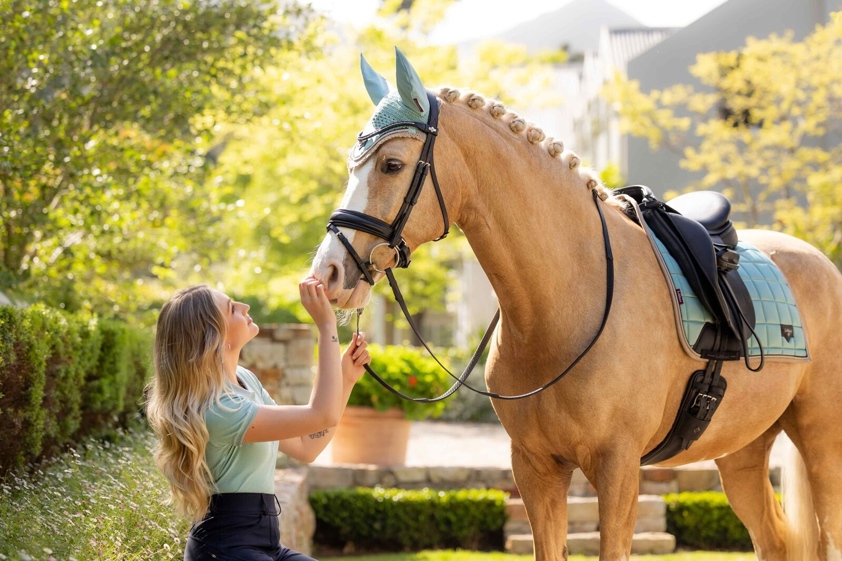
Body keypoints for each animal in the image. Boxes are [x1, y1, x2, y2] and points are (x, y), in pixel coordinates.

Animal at [308, 50, 840, 556]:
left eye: (392, 165)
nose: (328, 273)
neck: (566, 303)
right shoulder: (535, 467)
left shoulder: (618, 468)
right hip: (742, 451)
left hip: (822, 445)